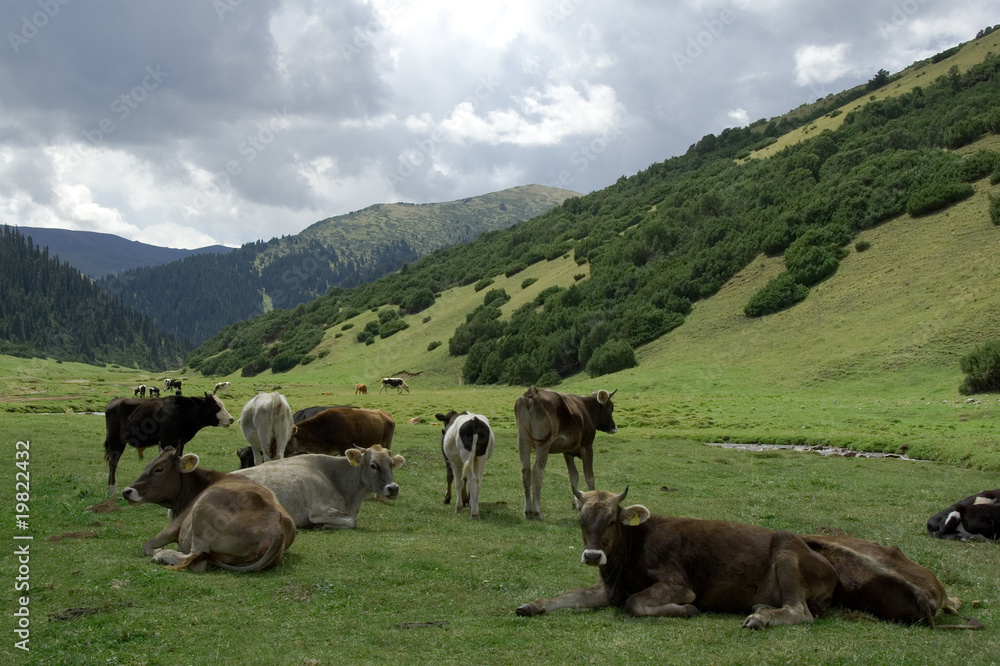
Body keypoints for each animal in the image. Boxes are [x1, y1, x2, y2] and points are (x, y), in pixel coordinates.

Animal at [103, 392, 234, 496]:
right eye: (216, 406)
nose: (231, 419)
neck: (183, 412)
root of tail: (115, 401)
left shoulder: (180, 442)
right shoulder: (165, 440)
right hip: (116, 441)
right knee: (113, 462)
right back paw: (113, 489)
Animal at [122, 446, 294, 572]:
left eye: (159, 469)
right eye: (147, 466)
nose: (126, 491)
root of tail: (276, 526)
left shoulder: (177, 523)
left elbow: (147, 545)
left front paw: (159, 551)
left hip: (202, 511)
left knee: (197, 561)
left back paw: (163, 555)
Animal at [235, 444, 406, 528]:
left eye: (391, 464)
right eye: (373, 465)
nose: (393, 488)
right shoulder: (318, 511)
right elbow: (351, 521)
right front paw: (322, 525)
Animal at [516, 384, 616, 520]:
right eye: (611, 407)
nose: (614, 427)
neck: (585, 409)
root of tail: (532, 392)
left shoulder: (567, 451)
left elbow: (573, 475)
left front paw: (575, 502)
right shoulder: (587, 447)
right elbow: (589, 476)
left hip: (523, 440)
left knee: (525, 470)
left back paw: (528, 511)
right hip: (543, 443)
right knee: (537, 470)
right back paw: (537, 510)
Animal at [520, 488, 972, 628]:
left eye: (613, 519)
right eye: (581, 518)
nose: (592, 553)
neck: (624, 561)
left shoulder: (675, 582)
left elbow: (637, 603)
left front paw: (685, 611)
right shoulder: (606, 589)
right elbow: (565, 597)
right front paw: (531, 605)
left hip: (786, 553)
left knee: (800, 612)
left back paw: (761, 617)